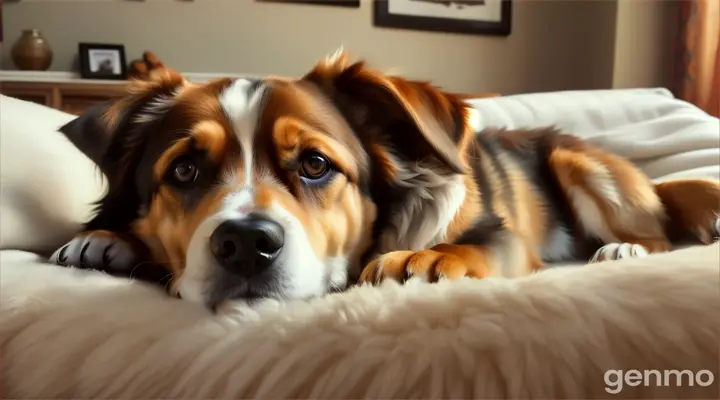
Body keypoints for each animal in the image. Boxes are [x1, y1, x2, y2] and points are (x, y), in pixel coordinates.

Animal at [50, 50, 720, 310]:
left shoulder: (502, 238)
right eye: (184, 170)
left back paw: (624, 247)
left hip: (580, 165)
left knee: (656, 231)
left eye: (315, 164)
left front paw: (429, 258)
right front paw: (108, 241)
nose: (245, 244)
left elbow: (474, 247)